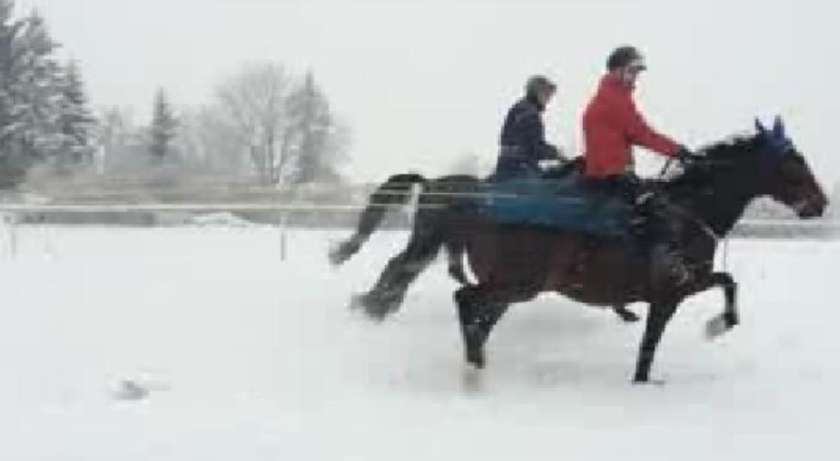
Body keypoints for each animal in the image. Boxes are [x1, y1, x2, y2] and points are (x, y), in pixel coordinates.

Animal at [330, 117, 828, 382]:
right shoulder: (671, 291)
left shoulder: (679, 288)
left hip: (506, 284)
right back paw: (470, 361)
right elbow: (657, 339)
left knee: (461, 301)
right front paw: (712, 327)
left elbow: (727, 281)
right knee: (458, 296)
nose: (820, 203)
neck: (685, 212)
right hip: (516, 282)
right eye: (794, 163)